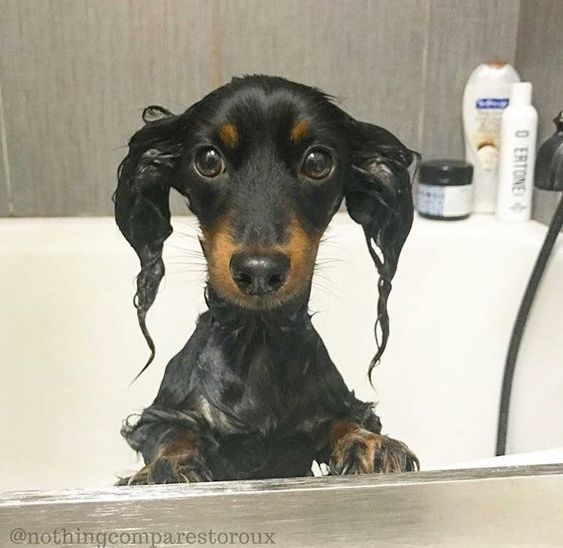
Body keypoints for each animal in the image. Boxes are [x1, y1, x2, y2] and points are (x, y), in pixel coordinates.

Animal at [115, 75, 419, 484]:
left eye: (317, 162)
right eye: (208, 160)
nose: (259, 271)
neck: (257, 338)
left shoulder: (332, 408)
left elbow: (344, 420)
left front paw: (368, 443)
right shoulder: (161, 415)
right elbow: (174, 432)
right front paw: (166, 468)